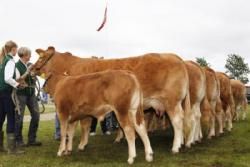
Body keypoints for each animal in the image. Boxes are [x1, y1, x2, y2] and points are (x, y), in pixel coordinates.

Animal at [31, 46, 191, 153]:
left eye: (40, 57)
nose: (31, 69)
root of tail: (175, 56)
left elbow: (83, 125)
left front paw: (81, 145)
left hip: (171, 102)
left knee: (177, 121)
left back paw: (176, 147)